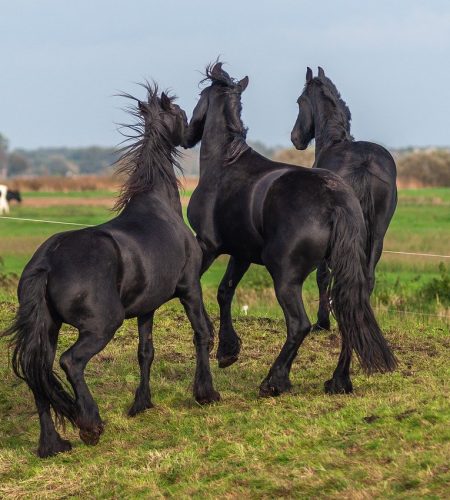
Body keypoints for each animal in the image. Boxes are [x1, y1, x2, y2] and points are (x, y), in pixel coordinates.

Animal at [2, 85, 221, 458]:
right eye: (179, 113)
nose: (195, 132)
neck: (160, 208)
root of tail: (47, 260)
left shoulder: (148, 307)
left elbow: (145, 352)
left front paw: (141, 404)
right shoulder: (190, 288)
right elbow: (202, 333)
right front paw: (206, 393)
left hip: (48, 329)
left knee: (38, 375)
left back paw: (52, 444)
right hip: (102, 326)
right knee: (70, 362)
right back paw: (90, 424)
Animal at [292, 66, 398, 332]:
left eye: (300, 101)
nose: (295, 138)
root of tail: (364, 163)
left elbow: (322, 276)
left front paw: (323, 321)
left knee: (329, 275)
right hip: (377, 233)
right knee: (367, 276)